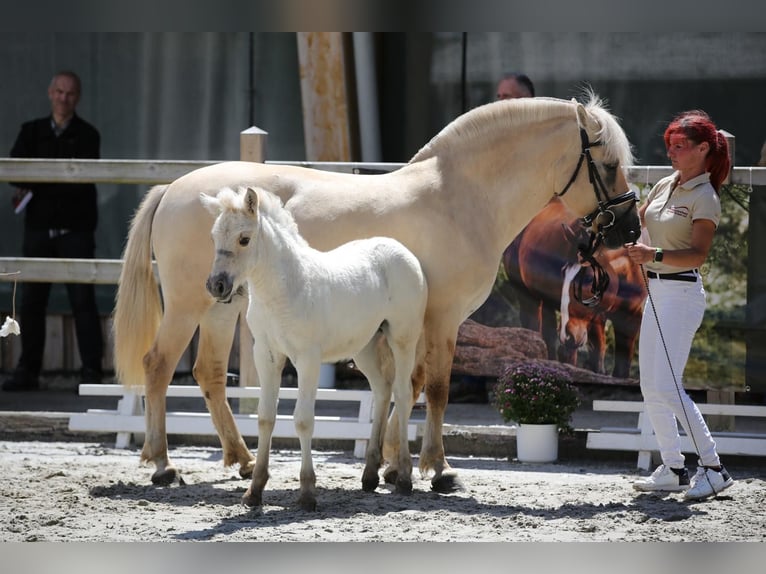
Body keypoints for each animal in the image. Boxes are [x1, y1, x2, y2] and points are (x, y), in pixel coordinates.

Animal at [112, 92, 640, 492]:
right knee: (159, 366)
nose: (630, 228)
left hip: (221, 306)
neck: (459, 198)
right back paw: (163, 465)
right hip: (190, 304)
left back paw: (242, 461)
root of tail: (173, 187)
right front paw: (437, 469)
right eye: (608, 164)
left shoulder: (416, 322)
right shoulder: (442, 317)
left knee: (209, 374)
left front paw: (389, 464)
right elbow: (435, 389)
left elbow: (408, 385)